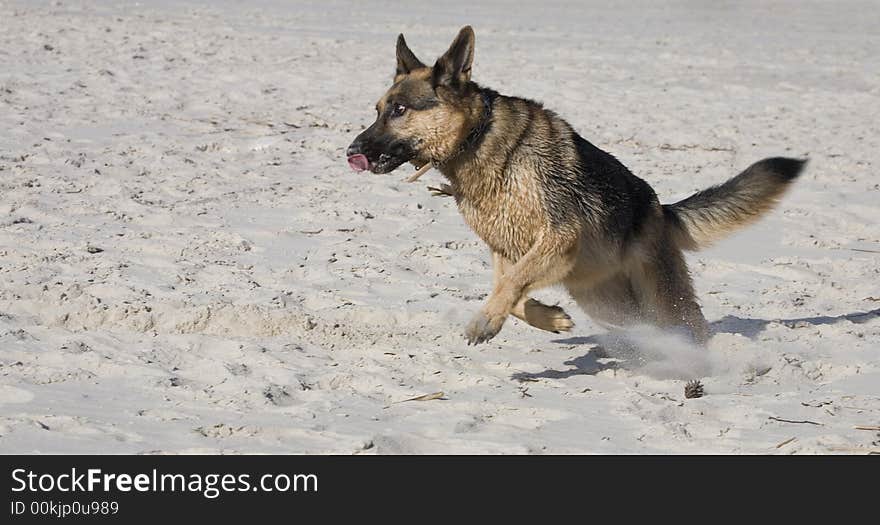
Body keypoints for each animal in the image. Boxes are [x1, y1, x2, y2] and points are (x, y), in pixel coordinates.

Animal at [344, 24, 804, 346]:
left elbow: (511, 284)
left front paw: (485, 320)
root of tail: (658, 207)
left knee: (692, 323)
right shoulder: (509, 250)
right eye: (378, 110)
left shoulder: (558, 238)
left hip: (658, 294)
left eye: (399, 110)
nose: (351, 150)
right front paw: (547, 318)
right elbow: (512, 291)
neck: (479, 139)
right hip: (608, 300)